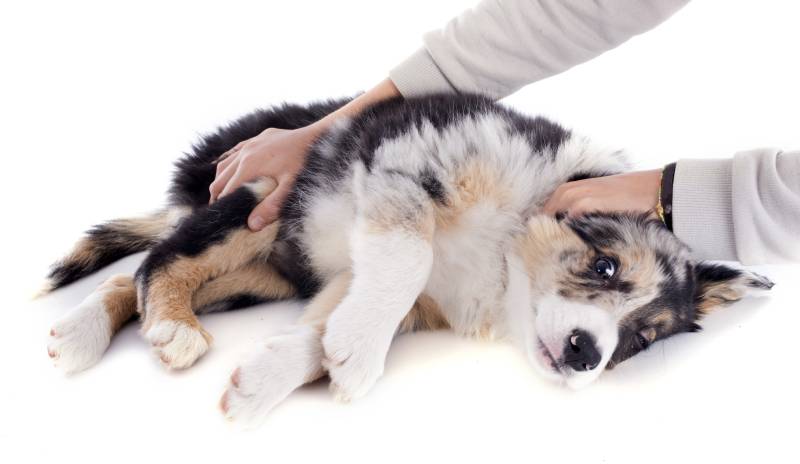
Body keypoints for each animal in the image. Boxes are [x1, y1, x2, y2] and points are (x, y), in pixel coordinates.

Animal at [42, 94, 768, 424]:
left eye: (641, 339)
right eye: (606, 267)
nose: (588, 353)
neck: (500, 260)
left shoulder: (372, 285)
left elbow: (321, 330)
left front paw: (269, 381)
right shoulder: (408, 161)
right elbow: (410, 253)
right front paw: (360, 354)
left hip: (269, 272)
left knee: (140, 275)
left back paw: (85, 332)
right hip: (261, 192)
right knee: (160, 258)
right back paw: (167, 327)